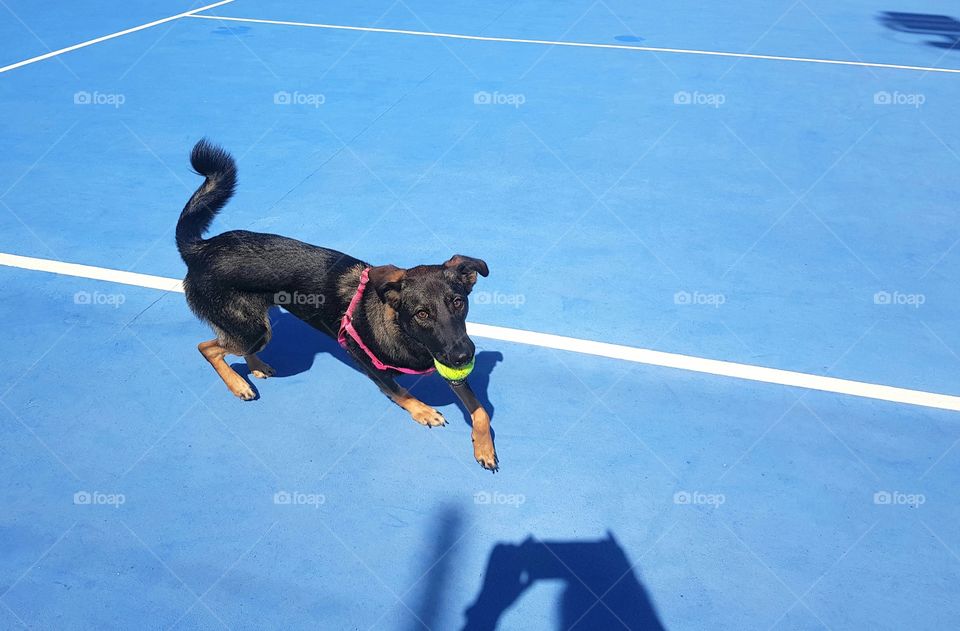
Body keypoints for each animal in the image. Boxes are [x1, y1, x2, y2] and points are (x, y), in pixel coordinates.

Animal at [175, 141, 498, 472]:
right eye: (422, 314)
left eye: (458, 302)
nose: (464, 356)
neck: (405, 334)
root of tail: (201, 249)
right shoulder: (367, 361)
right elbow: (401, 393)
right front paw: (423, 411)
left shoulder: (447, 362)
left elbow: (481, 412)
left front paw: (484, 448)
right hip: (252, 328)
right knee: (208, 347)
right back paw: (238, 384)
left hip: (254, 327)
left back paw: (256, 367)